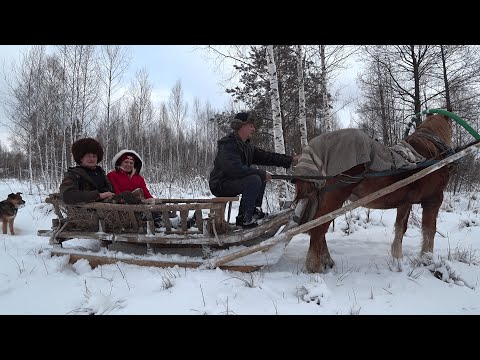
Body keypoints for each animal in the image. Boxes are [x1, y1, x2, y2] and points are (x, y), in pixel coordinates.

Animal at [292, 114, 454, 274]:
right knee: (318, 229)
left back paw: (326, 261)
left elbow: (401, 228)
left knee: (318, 229)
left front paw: (397, 257)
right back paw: (315, 267)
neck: (431, 153)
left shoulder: (405, 202)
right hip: (334, 198)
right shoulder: (433, 200)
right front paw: (427, 259)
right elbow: (429, 231)